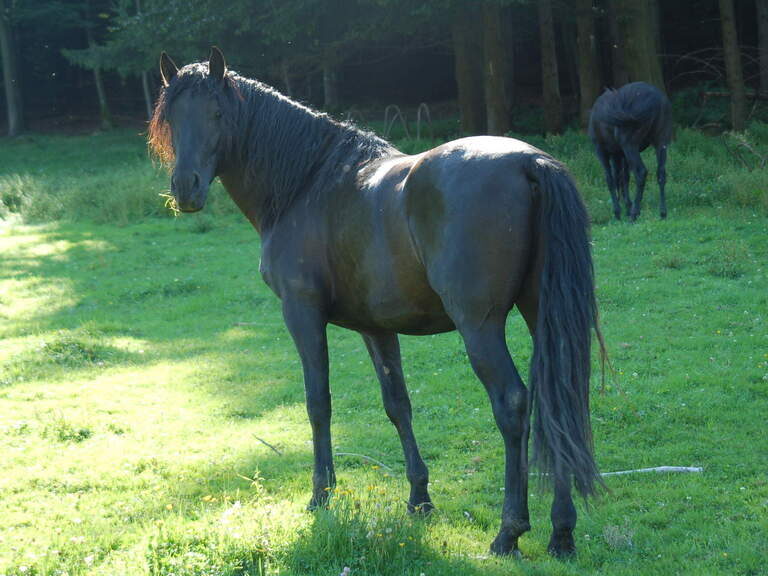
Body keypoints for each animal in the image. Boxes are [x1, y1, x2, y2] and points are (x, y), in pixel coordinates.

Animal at [149, 47, 604, 559]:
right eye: (172, 118)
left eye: (217, 114)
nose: (185, 189)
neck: (307, 183)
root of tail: (530, 162)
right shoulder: (378, 327)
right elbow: (397, 405)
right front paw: (419, 499)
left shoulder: (302, 313)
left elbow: (318, 402)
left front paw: (321, 496)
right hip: (539, 314)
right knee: (558, 398)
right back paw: (561, 533)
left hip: (480, 325)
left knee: (512, 404)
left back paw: (510, 531)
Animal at [588, 82, 672, 221]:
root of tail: (656, 101)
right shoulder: (619, 153)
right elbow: (623, 177)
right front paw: (626, 205)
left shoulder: (601, 149)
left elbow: (610, 178)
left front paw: (618, 211)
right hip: (661, 138)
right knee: (661, 172)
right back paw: (662, 212)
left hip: (630, 143)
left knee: (641, 171)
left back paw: (634, 213)